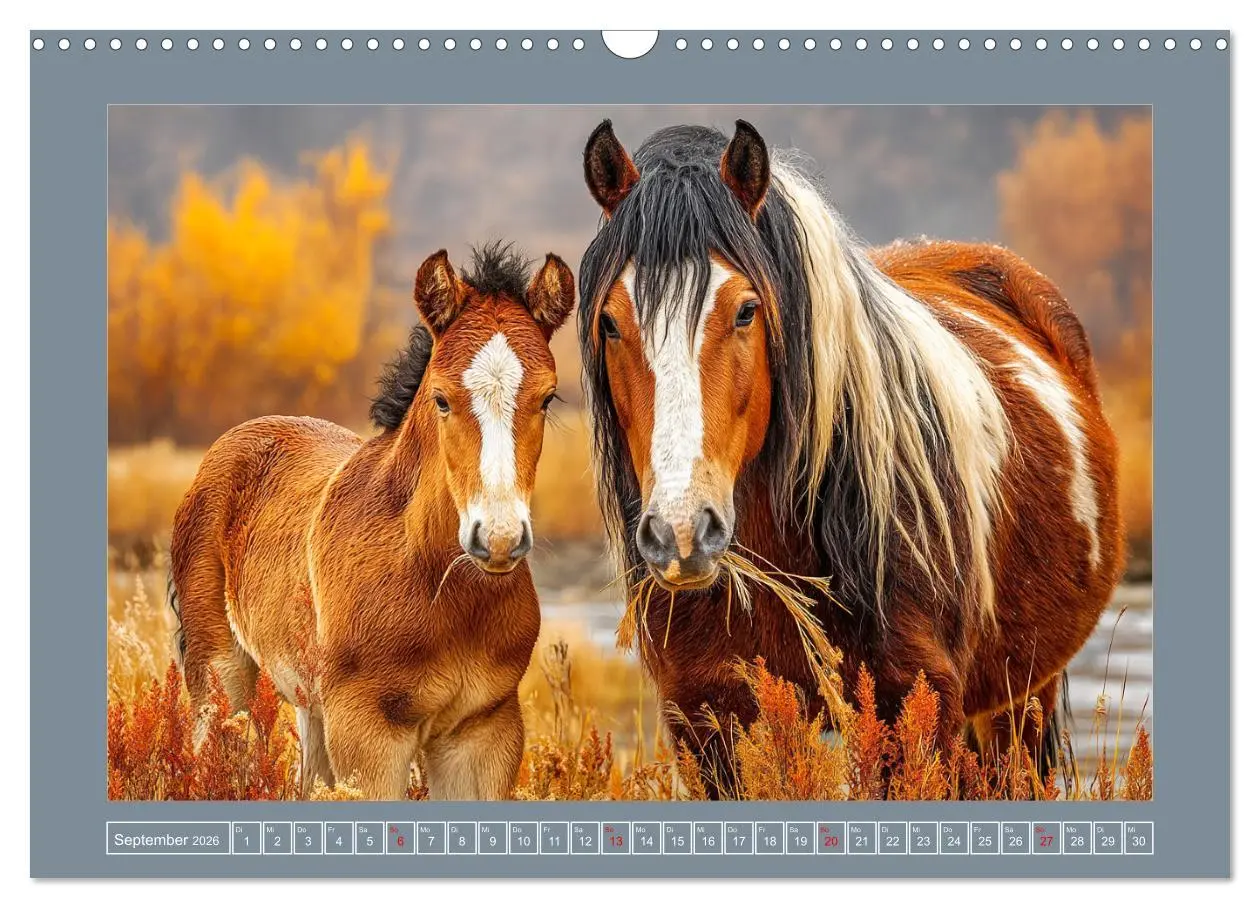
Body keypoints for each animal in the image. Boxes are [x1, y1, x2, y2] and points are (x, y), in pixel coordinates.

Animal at [169, 242, 576, 800]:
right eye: (441, 398)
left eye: (547, 397)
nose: (497, 540)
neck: (441, 589)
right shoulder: (368, 733)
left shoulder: (484, 731)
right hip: (220, 674)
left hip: (312, 706)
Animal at [578, 119, 1124, 795]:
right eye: (609, 323)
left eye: (746, 310)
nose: (680, 533)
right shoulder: (704, 717)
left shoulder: (912, 707)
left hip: (1020, 702)